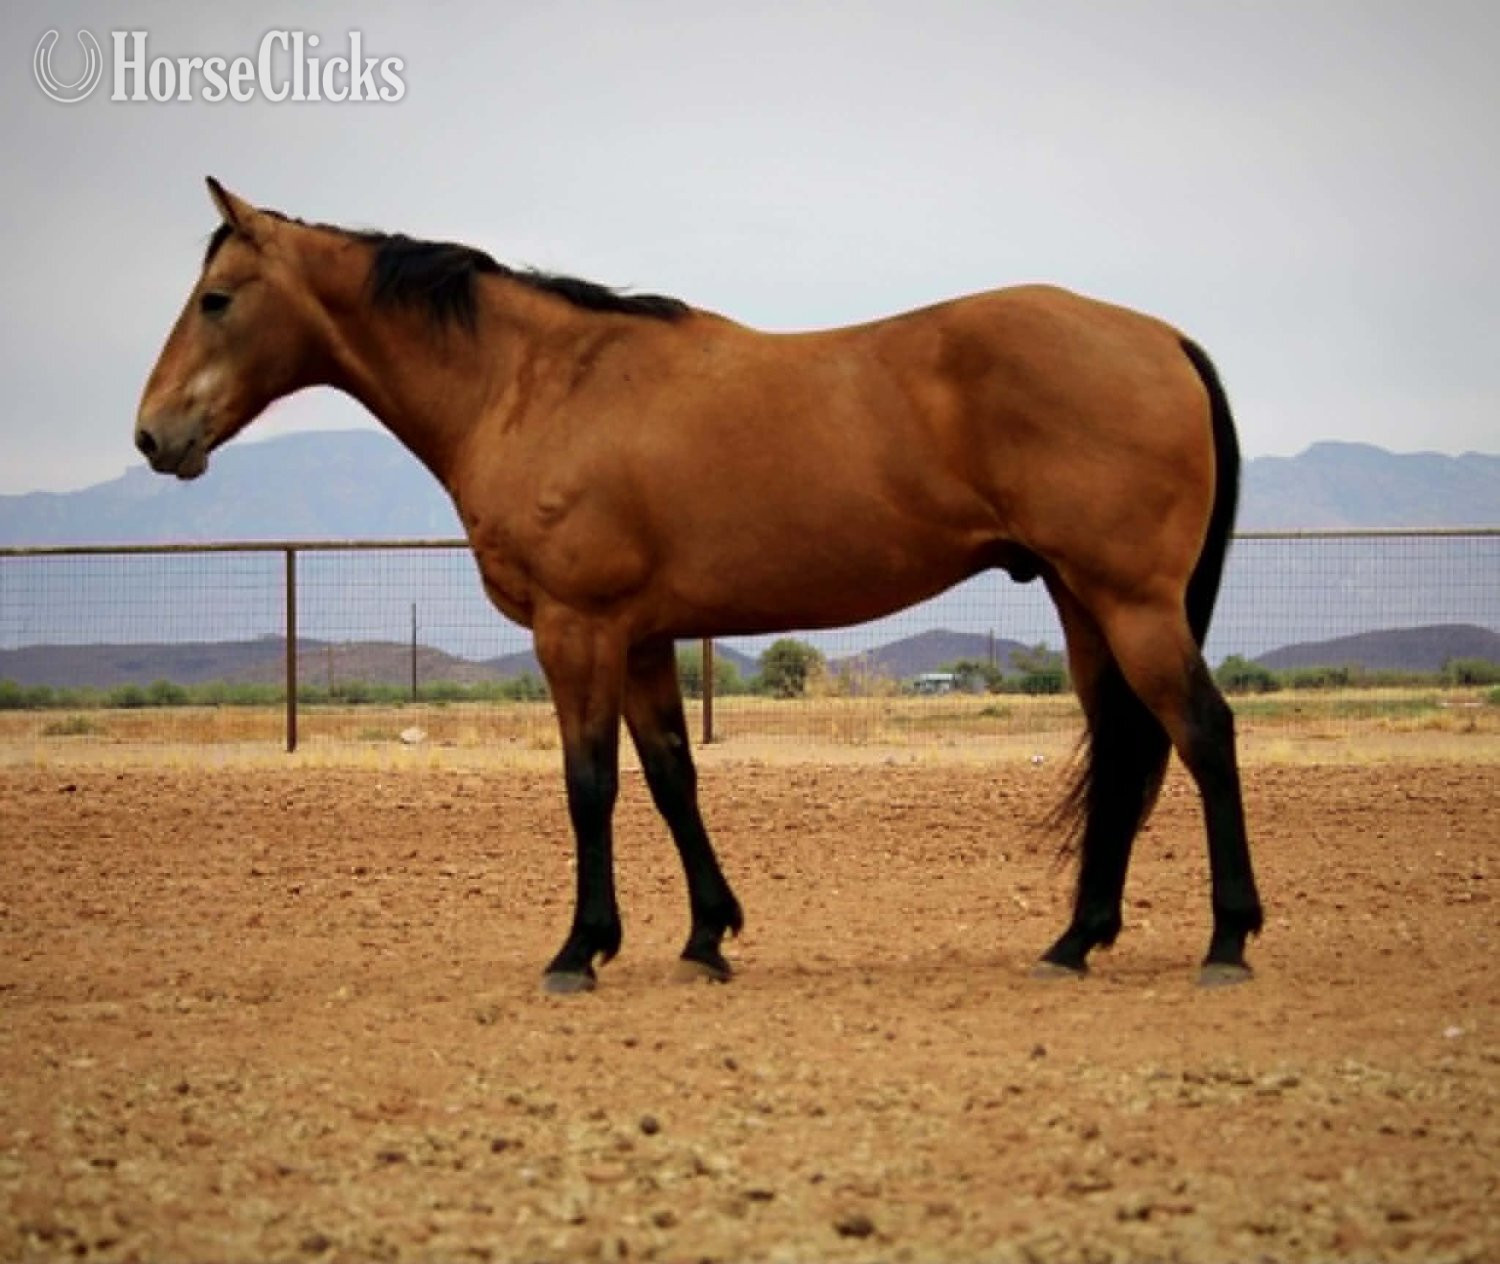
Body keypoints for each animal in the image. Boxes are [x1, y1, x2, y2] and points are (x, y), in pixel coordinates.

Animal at [136, 179, 1264, 992]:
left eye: (217, 300)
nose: (152, 436)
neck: (538, 383)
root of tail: (1161, 338)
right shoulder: (640, 637)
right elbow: (672, 776)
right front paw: (706, 937)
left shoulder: (576, 628)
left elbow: (589, 783)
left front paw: (578, 951)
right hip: (1084, 602)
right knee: (1125, 745)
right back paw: (1075, 942)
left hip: (1131, 601)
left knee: (1203, 731)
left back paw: (1227, 940)